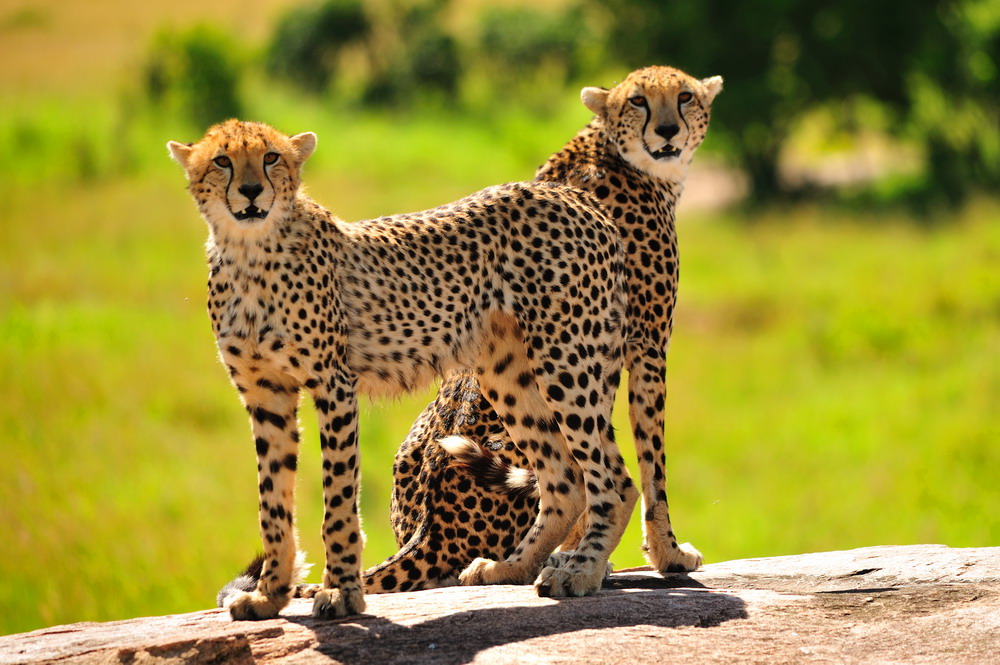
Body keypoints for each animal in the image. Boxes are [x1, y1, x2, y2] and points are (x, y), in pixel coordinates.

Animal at [168, 118, 628, 616]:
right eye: (222, 160)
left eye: (271, 158)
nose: (252, 191)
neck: (249, 252)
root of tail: (574, 196)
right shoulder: (265, 394)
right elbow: (272, 503)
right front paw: (268, 595)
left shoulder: (333, 385)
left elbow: (338, 499)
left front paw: (341, 592)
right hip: (507, 372)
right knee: (565, 478)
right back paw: (509, 568)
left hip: (566, 357)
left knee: (613, 479)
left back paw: (582, 570)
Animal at [364, 63, 724, 592]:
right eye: (638, 100)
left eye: (684, 97)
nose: (666, 131)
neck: (609, 150)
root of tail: (430, 529)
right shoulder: (648, 345)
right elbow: (654, 464)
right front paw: (669, 554)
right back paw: (575, 564)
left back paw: (522, 565)